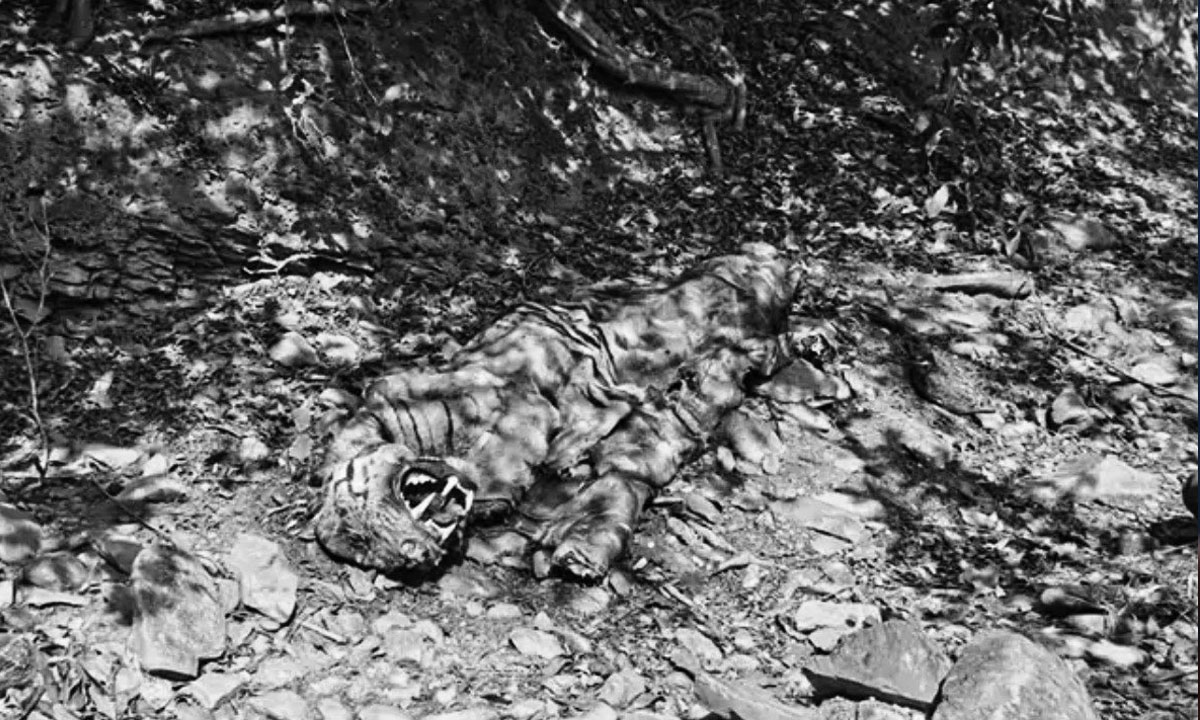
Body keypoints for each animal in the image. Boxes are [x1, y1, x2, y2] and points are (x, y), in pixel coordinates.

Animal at [314, 243, 800, 580]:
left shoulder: (501, 401)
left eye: (359, 535)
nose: (416, 553)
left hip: (733, 287)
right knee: (636, 464)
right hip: (703, 390)